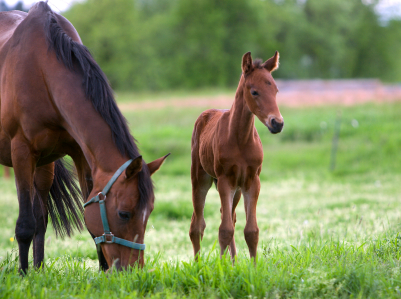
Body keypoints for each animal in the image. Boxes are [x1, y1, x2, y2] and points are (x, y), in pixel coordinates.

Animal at [0, 2, 167, 274]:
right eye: (124, 214)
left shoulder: (80, 155)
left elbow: (80, 220)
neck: (41, 71)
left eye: (149, 211)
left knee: (41, 217)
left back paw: (39, 268)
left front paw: (101, 271)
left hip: (45, 165)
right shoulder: (21, 153)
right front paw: (23, 275)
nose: (133, 270)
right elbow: (24, 225)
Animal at [189, 51, 282, 260]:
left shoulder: (252, 180)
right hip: (201, 179)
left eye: (276, 90)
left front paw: (253, 266)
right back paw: (199, 263)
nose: (277, 123)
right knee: (197, 225)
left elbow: (251, 231)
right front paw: (222, 267)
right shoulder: (225, 179)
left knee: (230, 216)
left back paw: (232, 261)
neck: (240, 139)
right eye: (254, 91)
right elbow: (224, 230)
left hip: (237, 188)